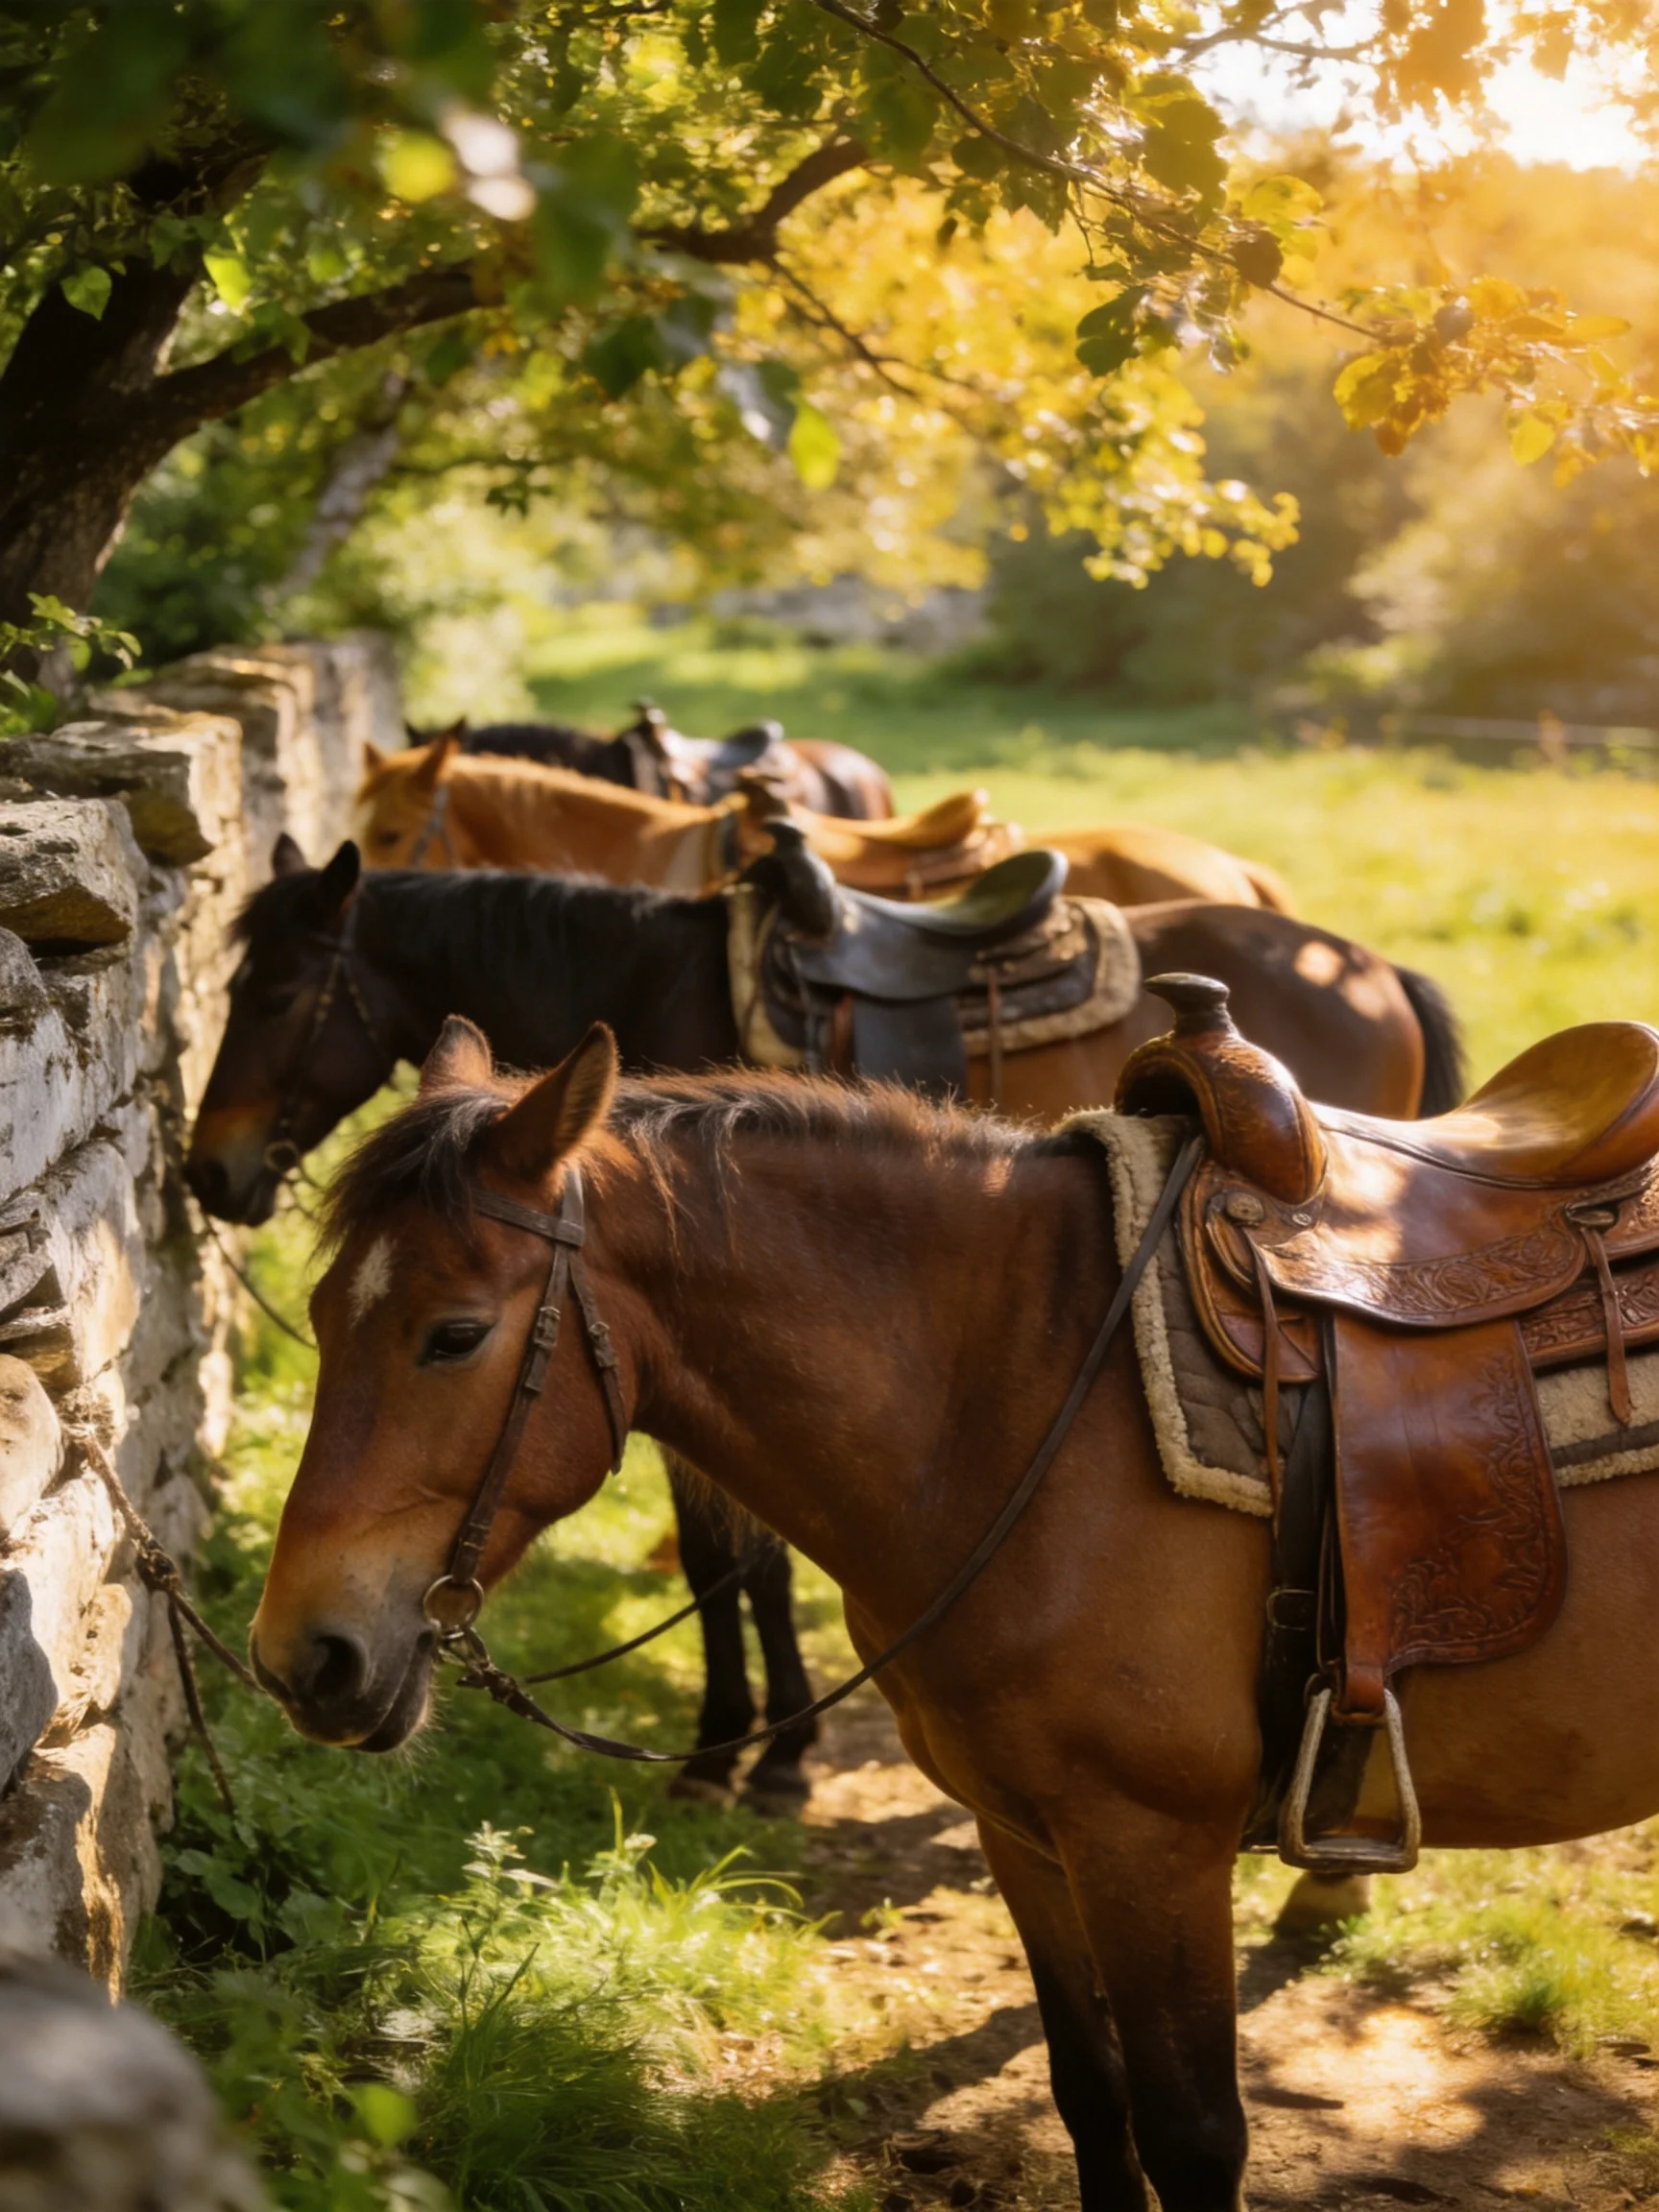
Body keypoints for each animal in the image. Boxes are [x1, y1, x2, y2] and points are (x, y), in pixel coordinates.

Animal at [186, 843, 1463, 1798]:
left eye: (276, 994)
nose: (209, 1171)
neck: (658, 981)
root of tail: (1378, 970)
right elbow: (729, 1553)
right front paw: (742, 1736)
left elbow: (733, 1557)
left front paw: (755, 1749)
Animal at [249, 1023, 1659, 2210]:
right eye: (321, 1317)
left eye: (454, 1335)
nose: (301, 1654)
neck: (1018, 1389)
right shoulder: (1022, 1829)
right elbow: (1093, 2100)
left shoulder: (1154, 1847)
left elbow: (1194, 2136)